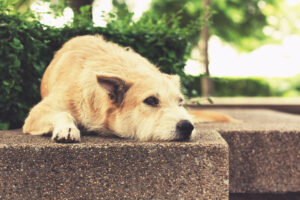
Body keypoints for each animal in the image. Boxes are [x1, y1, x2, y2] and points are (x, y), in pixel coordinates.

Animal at [22, 35, 232, 142]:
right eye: (151, 100)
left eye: (180, 102)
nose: (188, 126)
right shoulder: (36, 114)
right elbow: (62, 113)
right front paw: (66, 128)